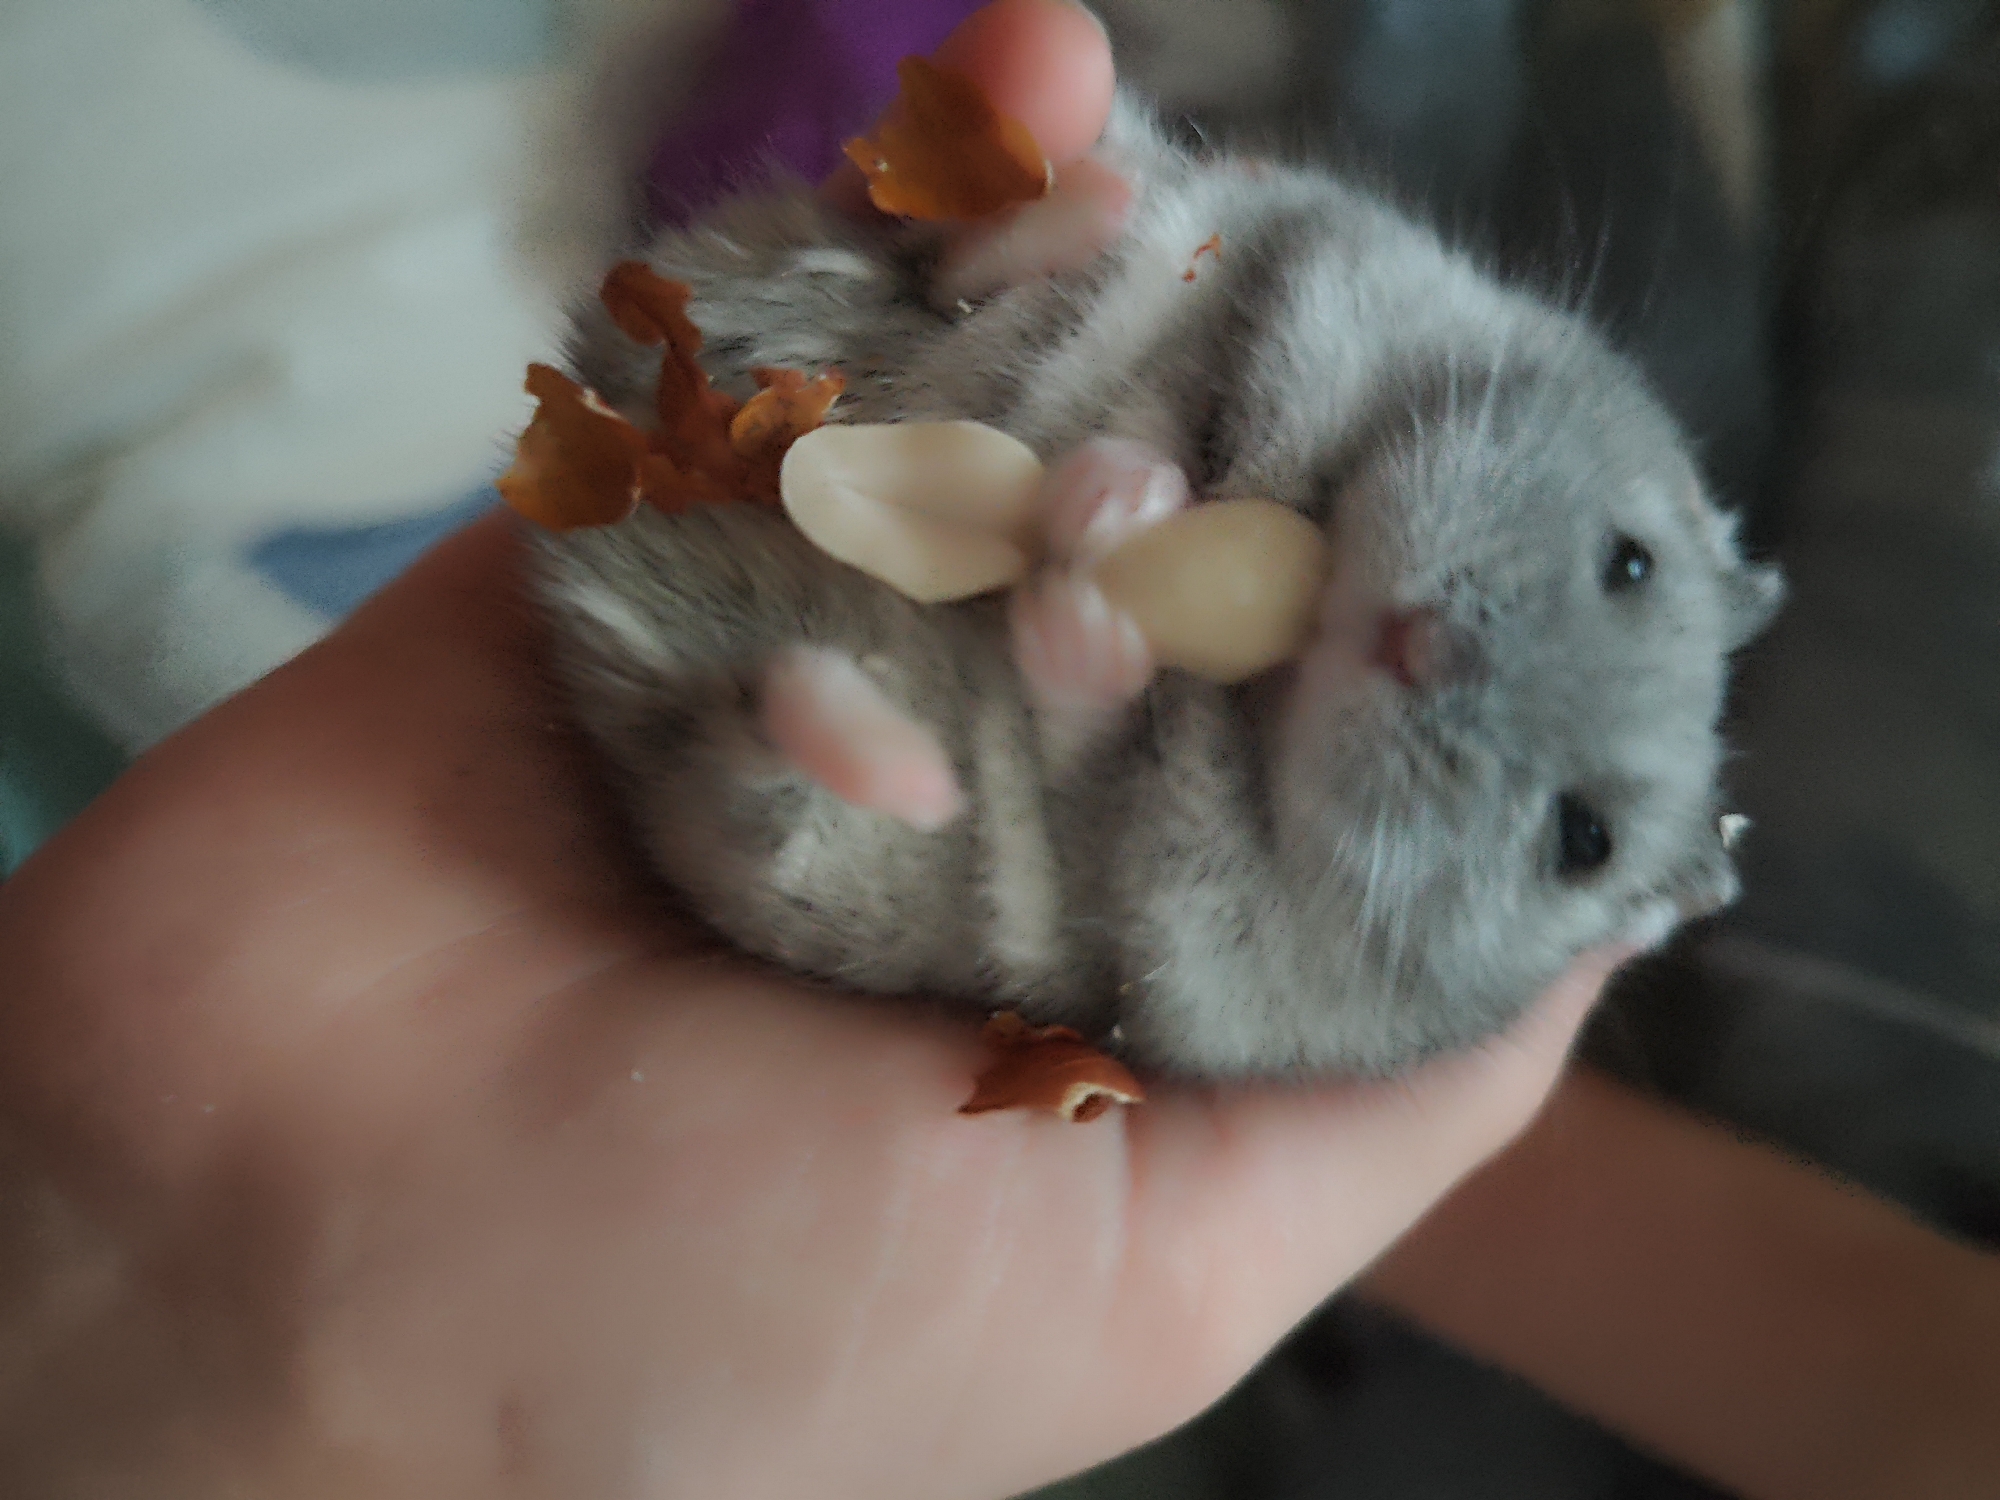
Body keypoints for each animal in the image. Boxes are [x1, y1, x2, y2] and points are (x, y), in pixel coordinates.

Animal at [532, 97, 1783, 1080]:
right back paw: (1081, 192)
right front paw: (1132, 486)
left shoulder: (1143, 926)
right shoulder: (1316, 270)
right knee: (948, 263)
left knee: (772, 751)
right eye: (1629, 560)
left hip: (768, 836)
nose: (1418, 642)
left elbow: (1073, 708)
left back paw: (893, 747)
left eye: (1581, 841)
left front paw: (1110, 518)